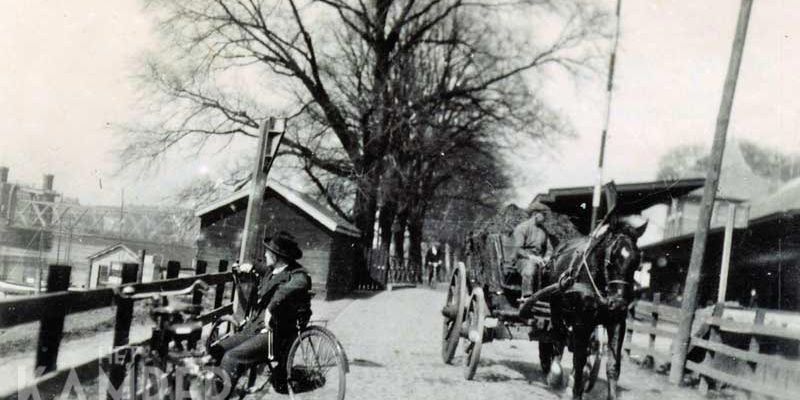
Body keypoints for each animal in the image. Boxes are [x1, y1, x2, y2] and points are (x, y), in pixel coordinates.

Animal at [536, 216, 644, 400]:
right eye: (612, 258)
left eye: (636, 262)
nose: (619, 303)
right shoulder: (582, 322)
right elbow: (579, 360)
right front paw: (575, 391)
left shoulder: (616, 322)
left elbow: (612, 365)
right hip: (556, 308)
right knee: (558, 338)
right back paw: (555, 372)